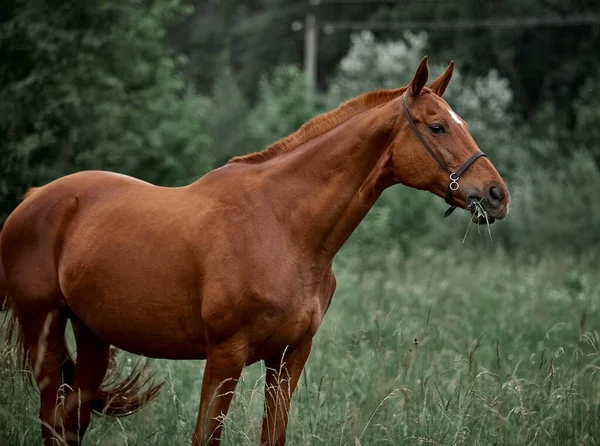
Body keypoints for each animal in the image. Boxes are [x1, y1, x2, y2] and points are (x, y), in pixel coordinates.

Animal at [2, 57, 508, 444]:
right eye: (437, 126)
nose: (497, 194)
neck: (283, 227)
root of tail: (33, 199)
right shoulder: (225, 357)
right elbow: (205, 437)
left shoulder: (289, 357)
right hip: (44, 331)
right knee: (52, 420)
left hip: (92, 336)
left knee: (71, 422)